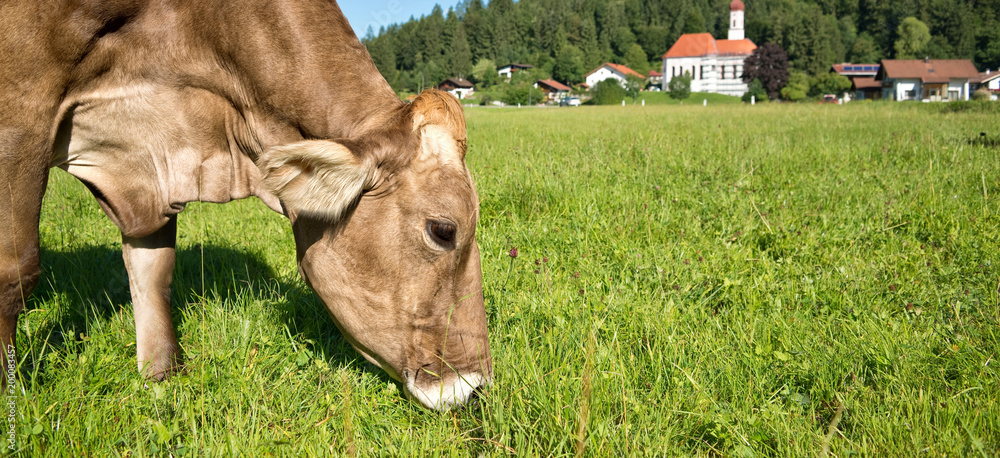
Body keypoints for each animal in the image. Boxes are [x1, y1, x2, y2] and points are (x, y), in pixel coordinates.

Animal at [0, 0, 492, 408]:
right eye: (443, 230)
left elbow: (153, 269)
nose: (474, 387)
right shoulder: (21, 104)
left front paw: (161, 377)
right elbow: (16, 272)